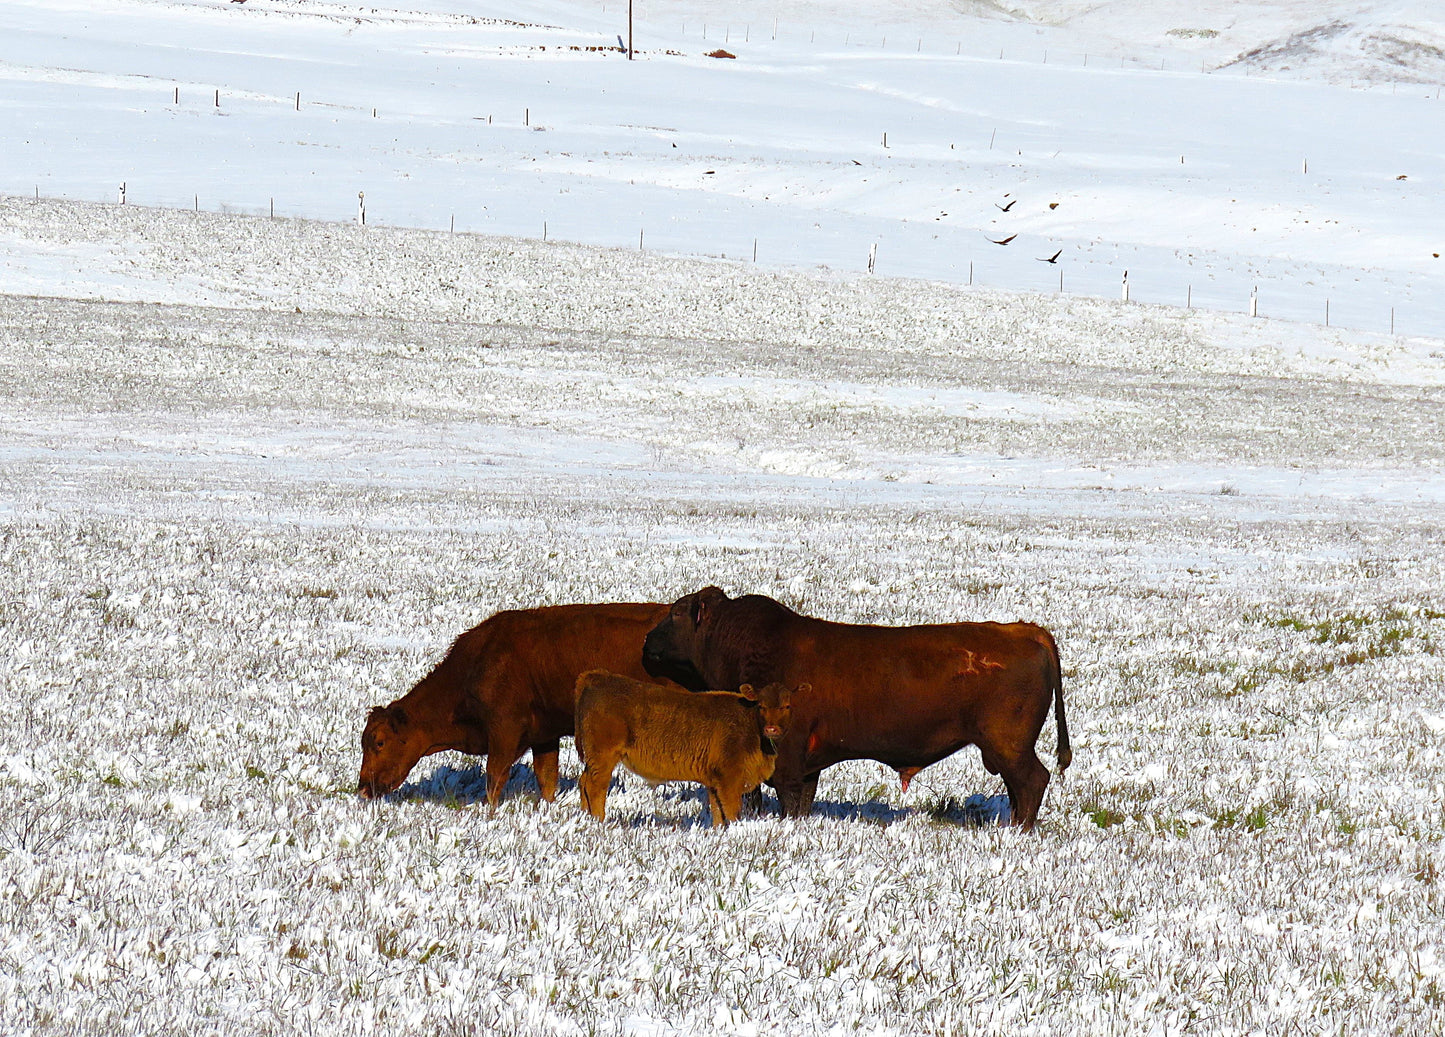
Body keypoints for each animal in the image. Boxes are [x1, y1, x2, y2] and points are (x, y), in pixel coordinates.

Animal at [361, 606, 676, 808]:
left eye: (379, 742)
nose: (363, 788)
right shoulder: (544, 736)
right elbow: (546, 779)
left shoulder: (504, 732)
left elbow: (494, 779)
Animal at [572, 673, 803, 826]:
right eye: (761, 706)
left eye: (787, 706)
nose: (771, 728)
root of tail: (598, 678)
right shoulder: (730, 779)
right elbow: (731, 810)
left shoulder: (715, 781)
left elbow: (718, 812)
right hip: (603, 757)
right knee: (595, 786)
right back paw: (599, 821)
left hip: (594, 759)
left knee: (583, 783)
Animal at [638, 589, 1069, 831]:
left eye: (676, 613)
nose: (646, 643)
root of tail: (1026, 630)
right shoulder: (807, 763)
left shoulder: (788, 756)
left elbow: (789, 798)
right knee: (1018, 788)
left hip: (1008, 746)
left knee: (1032, 781)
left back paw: (1019, 831)